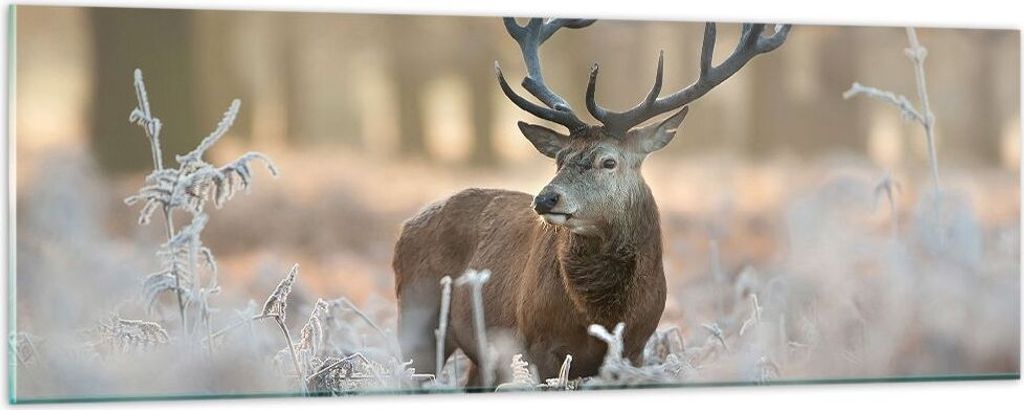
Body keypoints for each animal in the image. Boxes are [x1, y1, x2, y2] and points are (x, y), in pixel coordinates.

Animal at [393, 18, 790, 387]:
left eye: (608, 161)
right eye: (559, 158)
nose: (545, 198)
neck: (602, 315)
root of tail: (405, 227)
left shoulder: (635, 349)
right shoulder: (537, 346)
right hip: (416, 319)